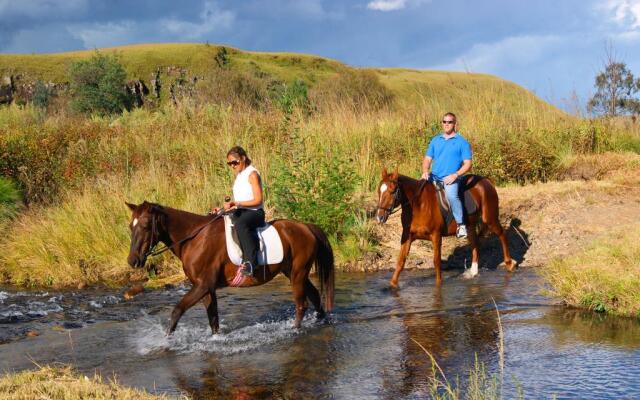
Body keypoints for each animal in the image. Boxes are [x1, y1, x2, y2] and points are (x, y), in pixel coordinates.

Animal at [125, 200, 336, 334]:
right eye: (130, 226)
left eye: (145, 225)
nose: (133, 260)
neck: (194, 238)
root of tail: (306, 227)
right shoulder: (206, 288)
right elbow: (213, 320)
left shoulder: (202, 285)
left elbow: (177, 310)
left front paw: (166, 340)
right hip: (293, 273)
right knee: (314, 296)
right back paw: (321, 321)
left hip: (298, 273)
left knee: (302, 304)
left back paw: (294, 330)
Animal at [376, 169, 516, 288]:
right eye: (379, 191)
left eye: (392, 191)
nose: (379, 217)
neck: (419, 205)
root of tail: (486, 181)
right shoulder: (407, 236)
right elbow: (401, 261)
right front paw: (393, 285)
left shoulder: (436, 236)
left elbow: (436, 262)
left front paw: (439, 284)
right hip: (470, 226)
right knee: (475, 243)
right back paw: (473, 272)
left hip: (490, 219)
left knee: (502, 234)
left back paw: (509, 264)